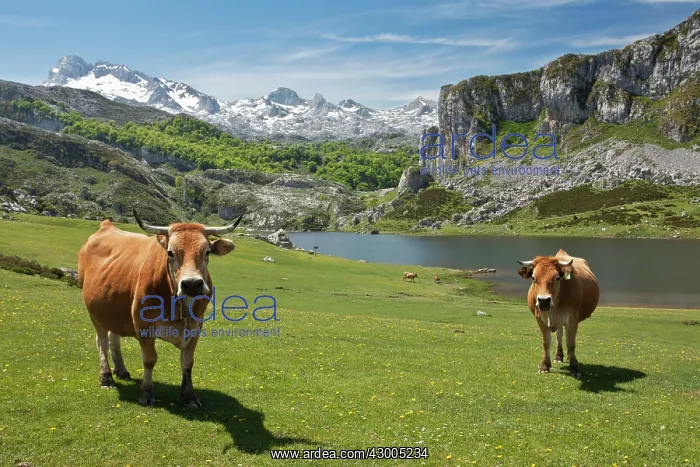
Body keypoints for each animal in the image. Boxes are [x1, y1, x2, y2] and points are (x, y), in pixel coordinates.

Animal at [77, 209, 244, 407]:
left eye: (207, 252)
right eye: (170, 253)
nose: (192, 284)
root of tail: (106, 226)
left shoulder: (196, 327)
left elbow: (188, 362)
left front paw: (189, 396)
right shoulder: (143, 326)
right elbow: (150, 360)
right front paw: (146, 393)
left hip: (112, 309)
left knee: (113, 337)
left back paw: (121, 370)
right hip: (95, 313)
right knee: (101, 342)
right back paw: (106, 378)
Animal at [517, 249, 599, 379]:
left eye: (557, 278)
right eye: (534, 277)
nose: (543, 300)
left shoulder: (573, 317)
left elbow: (571, 343)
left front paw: (574, 367)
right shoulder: (539, 317)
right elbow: (546, 342)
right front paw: (545, 365)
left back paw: (569, 356)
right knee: (559, 335)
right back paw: (558, 356)